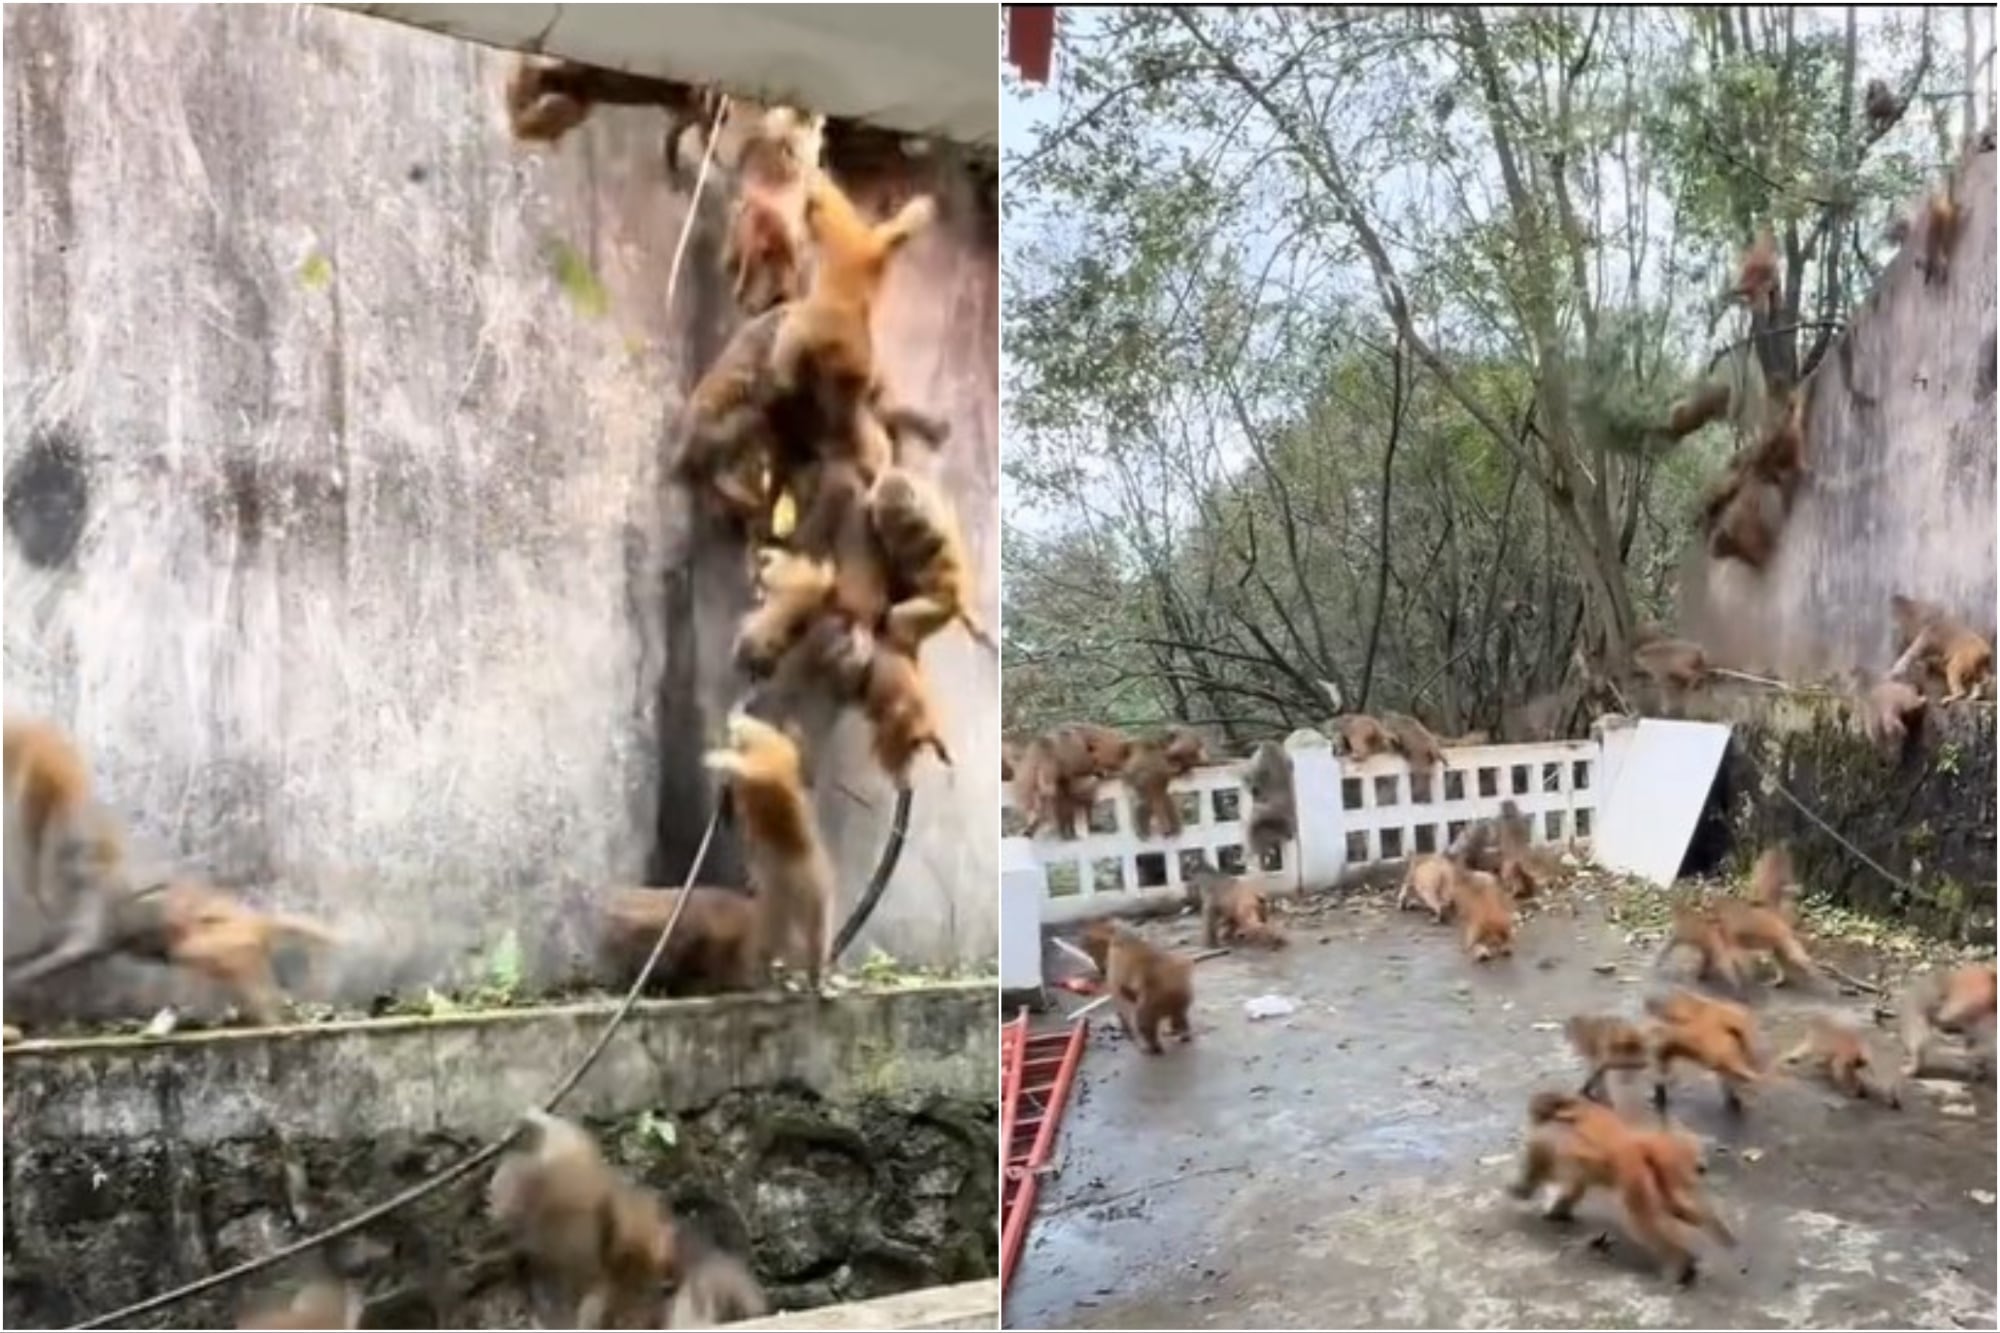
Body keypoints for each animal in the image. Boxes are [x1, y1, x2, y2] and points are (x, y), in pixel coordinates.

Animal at [869, 466, 996, 652]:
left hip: (941, 605)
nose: (897, 527)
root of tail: (958, 598)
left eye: (901, 516)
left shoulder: (925, 512)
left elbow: (936, 537)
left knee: (902, 616)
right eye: (890, 518)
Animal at [1077, 919, 1193, 1055]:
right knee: (1179, 1017)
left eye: (1090, 950)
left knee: (1144, 1021)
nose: (1100, 969)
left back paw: (1152, 1045)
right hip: (1180, 998)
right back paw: (1182, 1032)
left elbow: (1121, 1001)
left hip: (1151, 1004)